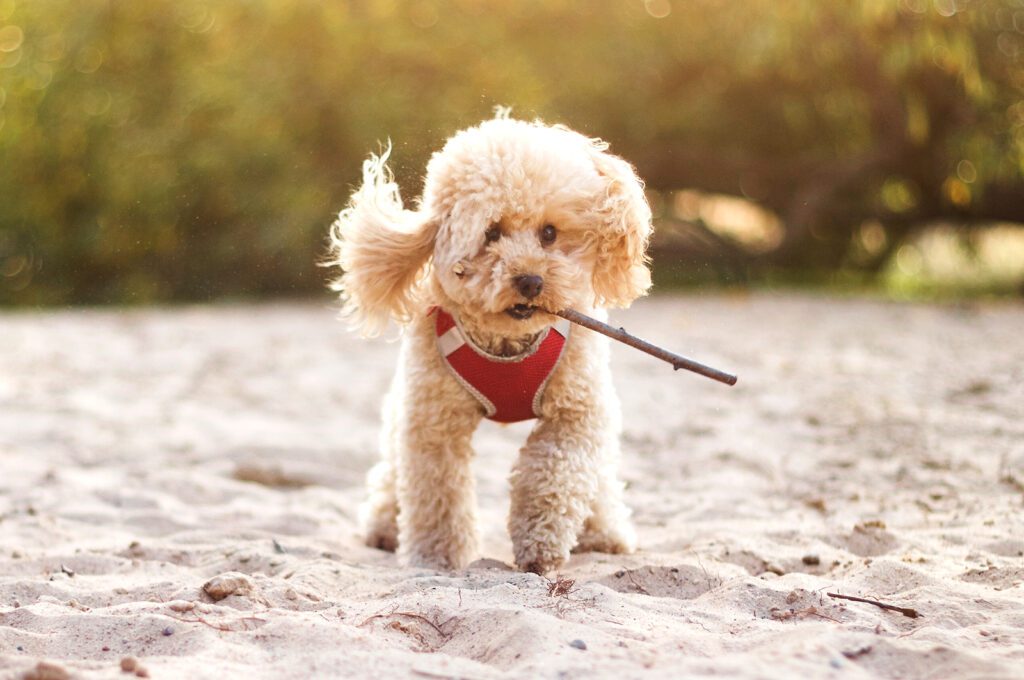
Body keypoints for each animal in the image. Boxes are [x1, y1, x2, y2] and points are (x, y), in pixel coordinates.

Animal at [323, 111, 651, 573]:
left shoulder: (576, 411)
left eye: (550, 232)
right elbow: (437, 491)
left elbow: (556, 474)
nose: (530, 281)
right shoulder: (433, 421)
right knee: (392, 470)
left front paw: (540, 547)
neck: (507, 343)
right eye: (491, 233)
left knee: (598, 475)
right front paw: (436, 559)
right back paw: (385, 527)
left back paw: (604, 534)